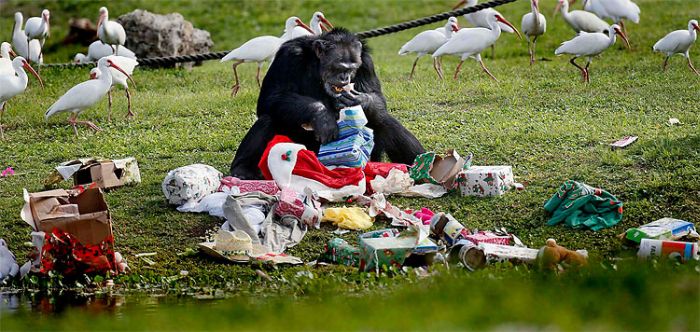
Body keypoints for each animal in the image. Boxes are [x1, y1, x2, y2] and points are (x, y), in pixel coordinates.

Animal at [232, 28, 424, 179]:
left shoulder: (366, 62)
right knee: (268, 118)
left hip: (371, 158)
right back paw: (242, 170)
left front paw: (361, 100)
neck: (317, 63)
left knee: (383, 119)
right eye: (339, 67)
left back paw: (421, 166)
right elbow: (270, 97)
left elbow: (377, 96)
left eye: (352, 69)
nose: (344, 77)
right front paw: (322, 116)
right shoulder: (288, 56)